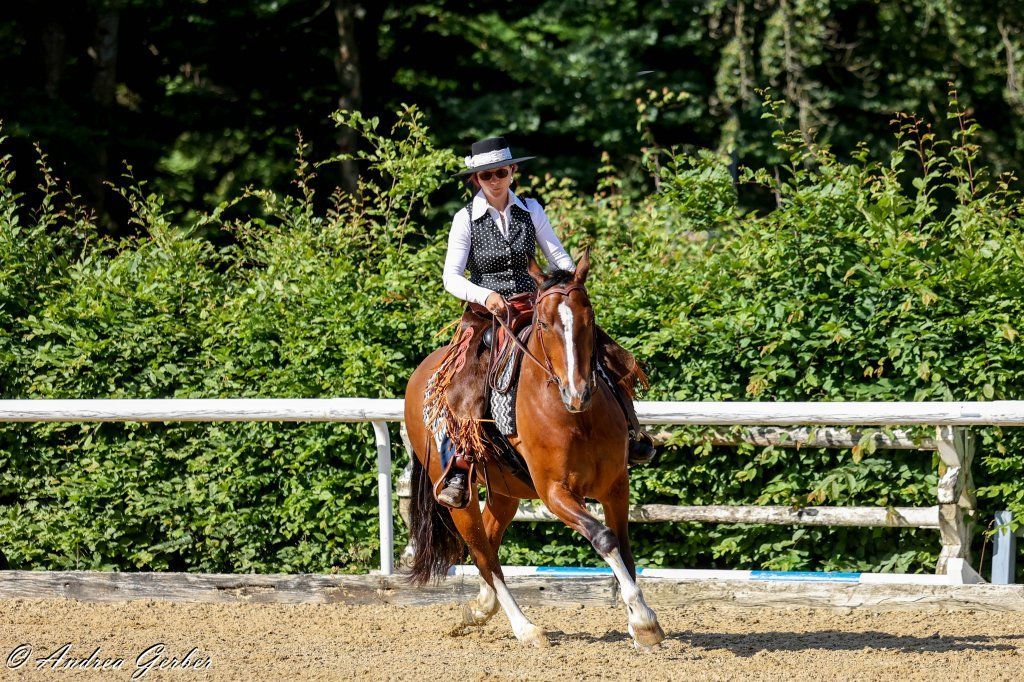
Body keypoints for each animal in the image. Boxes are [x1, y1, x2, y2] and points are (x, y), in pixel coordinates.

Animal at [402, 249, 665, 649]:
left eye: (590, 319)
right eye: (543, 324)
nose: (577, 392)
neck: (577, 418)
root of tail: (422, 375)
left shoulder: (616, 486)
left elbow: (624, 547)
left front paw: (639, 625)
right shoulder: (555, 492)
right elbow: (604, 538)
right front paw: (645, 622)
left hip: (505, 492)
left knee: (490, 541)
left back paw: (481, 608)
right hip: (458, 499)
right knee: (481, 552)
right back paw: (525, 628)